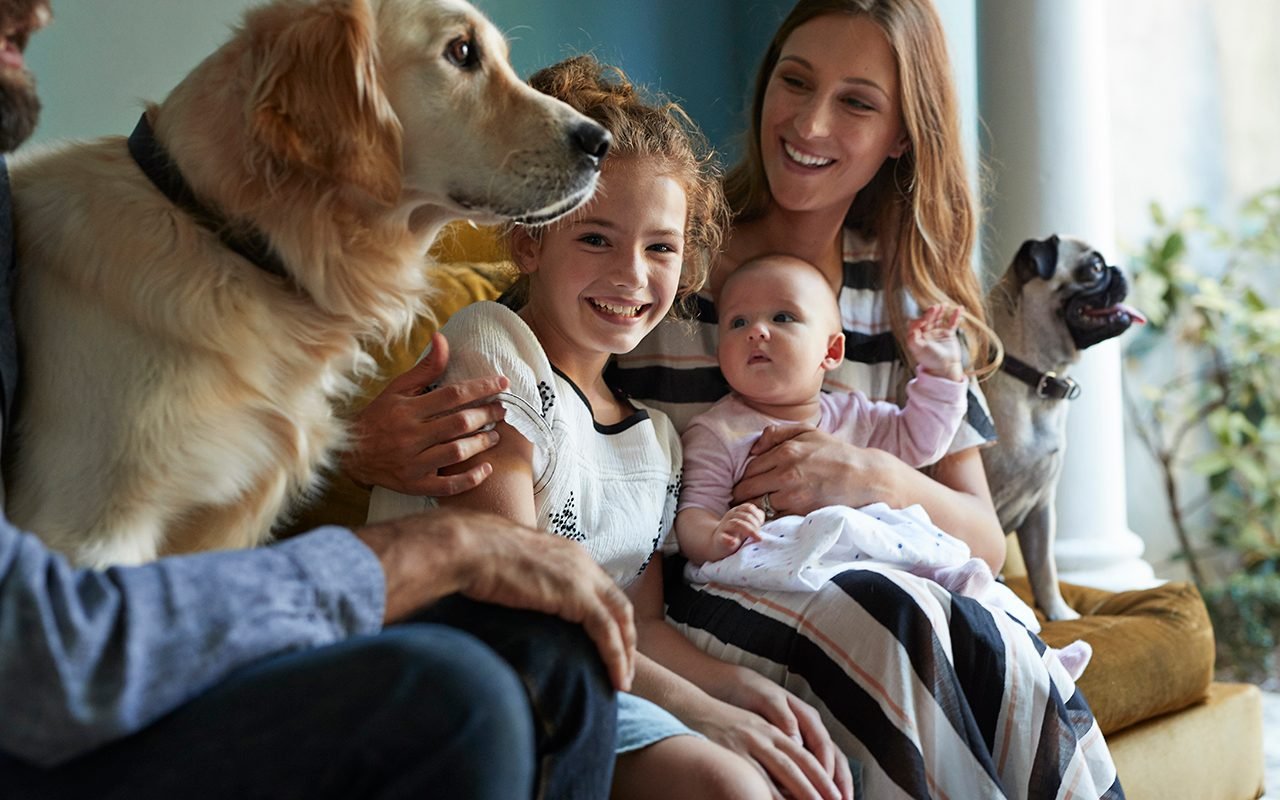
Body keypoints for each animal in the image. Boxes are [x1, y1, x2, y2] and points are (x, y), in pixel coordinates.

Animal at [977, 234, 1152, 622]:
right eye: (1096, 268)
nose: (1118, 269)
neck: (1036, 381)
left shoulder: (1041, 509)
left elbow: (1044, 568)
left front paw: (1059, 613)